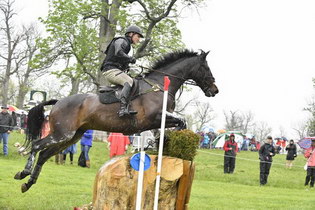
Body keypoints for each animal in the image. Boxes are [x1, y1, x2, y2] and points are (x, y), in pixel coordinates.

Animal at [13, 49, 218, 192]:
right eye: (206, 68)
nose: (215, 90)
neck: (159, 86)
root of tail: (58, 101)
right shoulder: (157, 117)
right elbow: (182, 122)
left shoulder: (156, 122)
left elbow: (169, 130)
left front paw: (159, 145)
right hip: (63, 133)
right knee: (37, 146)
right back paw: (24, 173)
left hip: (72, 136)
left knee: (44, 155)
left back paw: (28, 183)